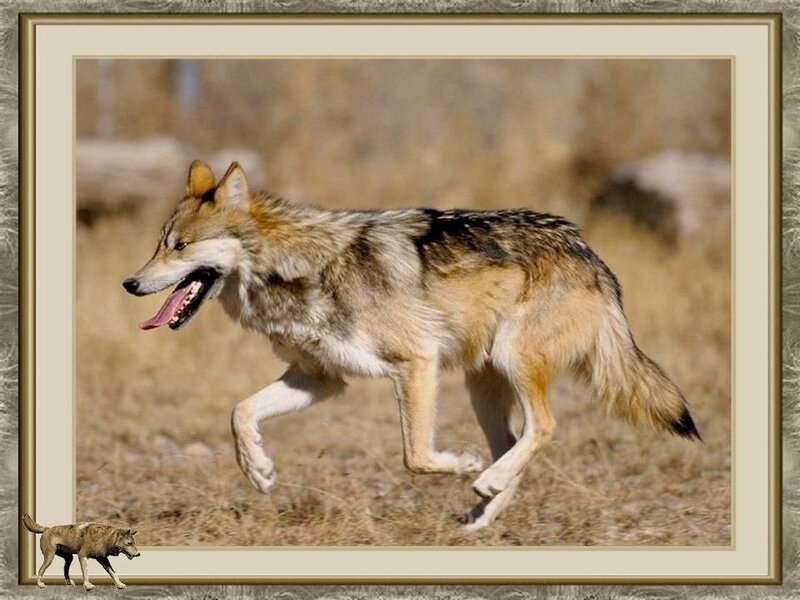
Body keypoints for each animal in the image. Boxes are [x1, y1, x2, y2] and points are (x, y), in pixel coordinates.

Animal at [123, 160, 700, 529]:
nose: (130, 283)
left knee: (543, 428)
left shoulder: (415, 363)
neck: (297, 268)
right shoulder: (320, 379)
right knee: (515, 441)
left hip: (510, 362)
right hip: (482, 385)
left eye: (180, 247)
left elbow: (416, 456)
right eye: (158, 245)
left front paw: (461, 465)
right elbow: (240, 412)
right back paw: (482, 512)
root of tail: (589, 252)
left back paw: (484, 481)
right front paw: (259, 470)